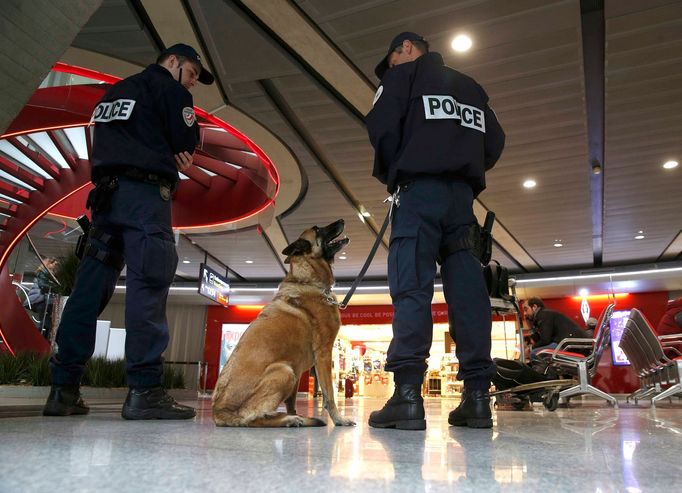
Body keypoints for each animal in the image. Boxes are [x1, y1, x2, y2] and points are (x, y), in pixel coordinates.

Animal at [210, 219, 354, 426]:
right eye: (318, 229)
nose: (342, 220)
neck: (308, 279)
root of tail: (218, 411)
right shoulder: (324, 353)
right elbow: (329, 394)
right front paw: (339, 419)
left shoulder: (298, 367)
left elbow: (291, 401)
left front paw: (296, 412)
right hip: (284, 371)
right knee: (252, 417)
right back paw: (290, 420)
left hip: (291, 371)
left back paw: (294, 418)